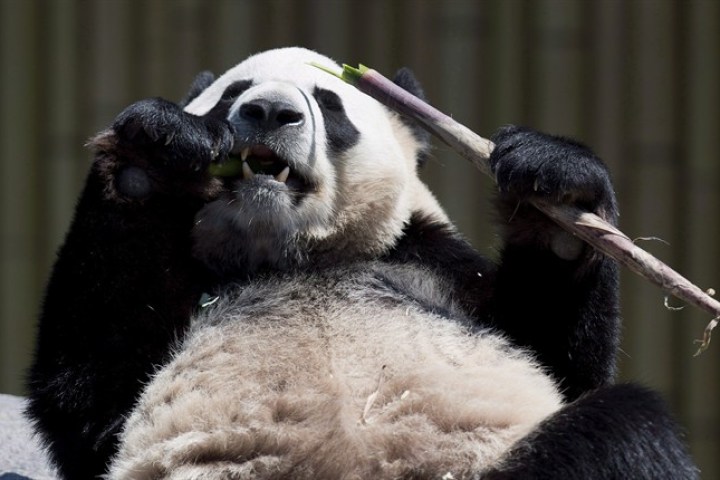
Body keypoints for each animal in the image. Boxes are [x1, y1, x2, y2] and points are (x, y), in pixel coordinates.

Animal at [28, 46, 696, 480]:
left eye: (331, 103)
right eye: (234, 97)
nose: (269, 113)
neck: (294, 254)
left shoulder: (433, 265)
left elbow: (563, 362)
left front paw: (557, 190)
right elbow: (91, 394)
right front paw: (153, 155)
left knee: (623, 431)